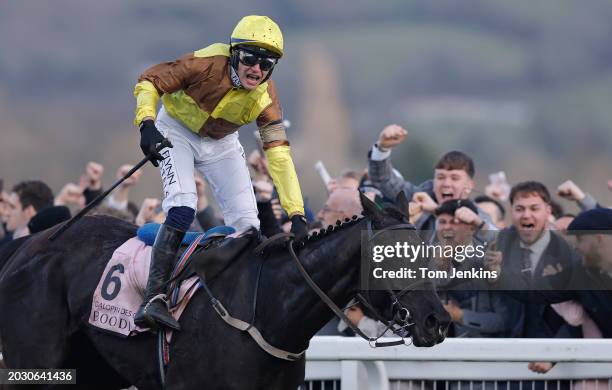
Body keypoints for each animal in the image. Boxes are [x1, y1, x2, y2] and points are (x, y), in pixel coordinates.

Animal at [0, 193, 450, 390]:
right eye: (388, 256)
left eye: (426, 252)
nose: (437, 321)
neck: (267, 311)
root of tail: (26, 245)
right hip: (34, 362)